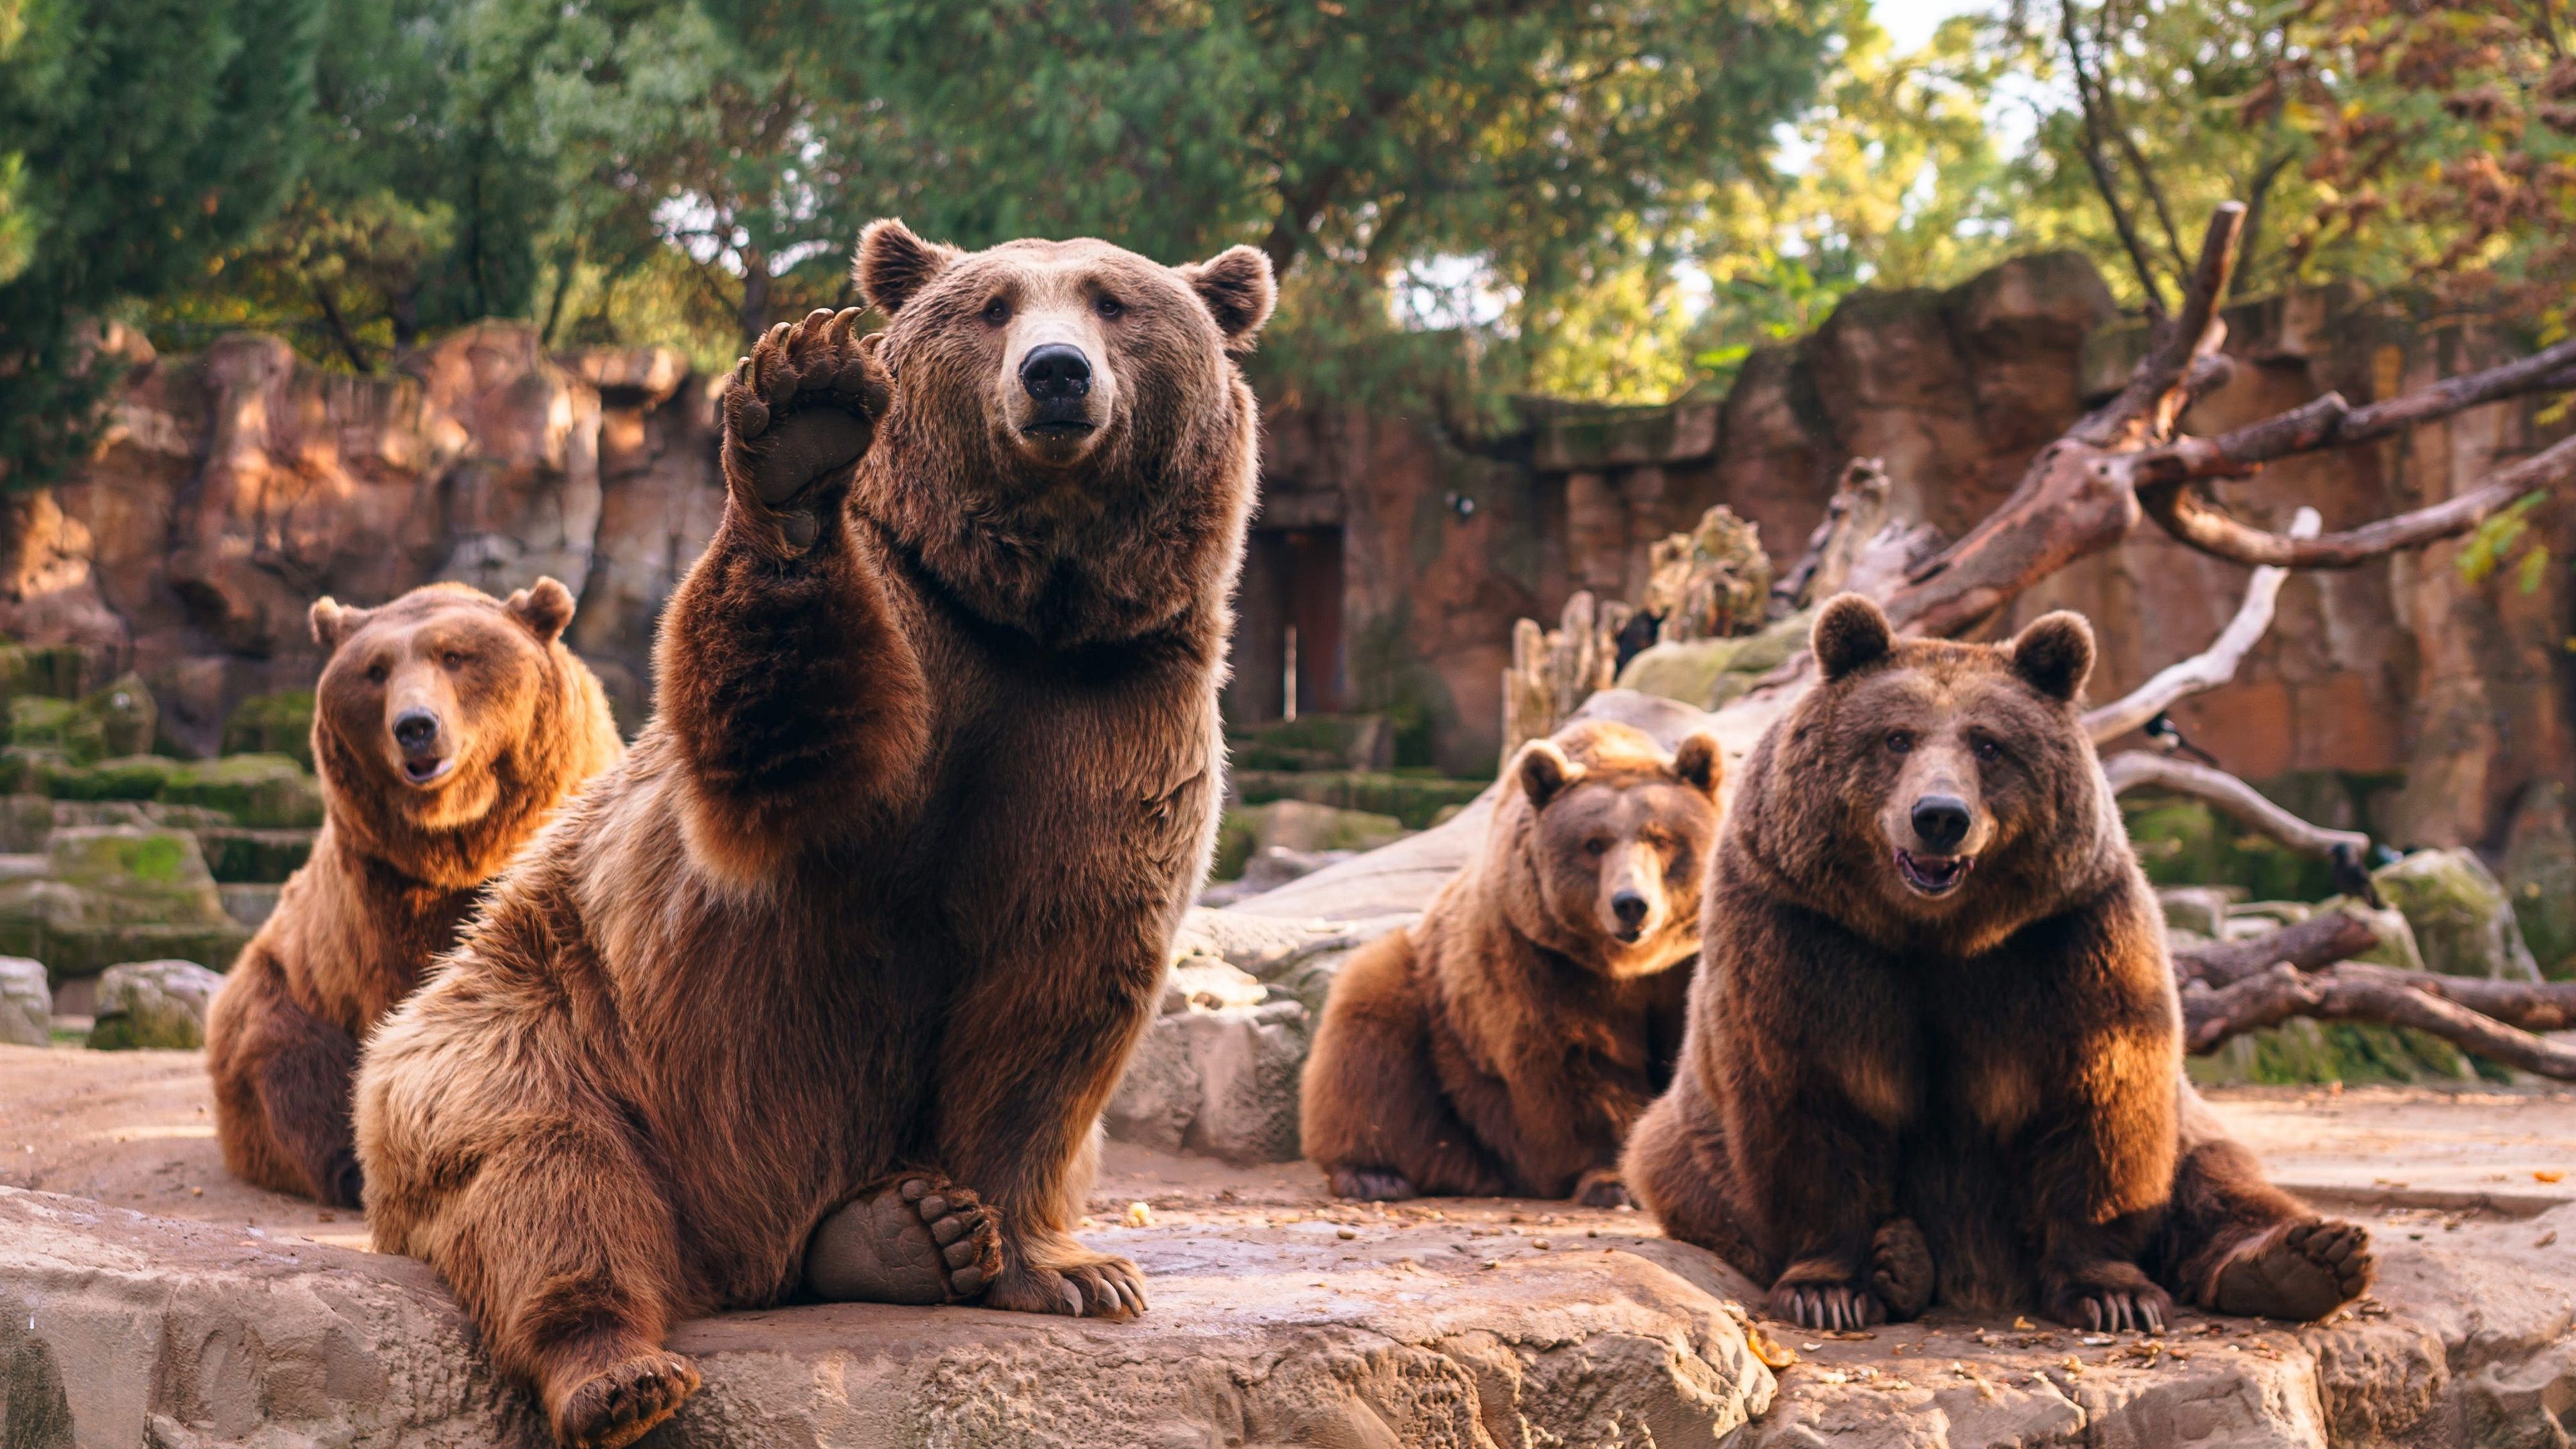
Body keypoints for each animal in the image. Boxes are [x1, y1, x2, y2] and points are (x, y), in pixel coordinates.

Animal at [203, 580, 621, 1201]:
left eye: (455, 655)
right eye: (375, 670)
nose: (415, 726)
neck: (465, 842)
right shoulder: (384, 888)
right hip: (288, 987)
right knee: (291, 1070)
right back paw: (349, 1170)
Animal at [347, 225, 1272, 1444]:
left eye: (1116, 302)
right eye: (992, 305)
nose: (1056, 374)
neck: (1030, 618)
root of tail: (734, 1261)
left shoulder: (1111, 719)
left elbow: (1056, 992)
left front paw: (1072, 1270)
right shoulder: (910, 654)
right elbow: (778, 746)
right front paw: (803, 422)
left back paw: (909, 1233)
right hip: (530, 1034)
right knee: (545, 1177)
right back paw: (622, 1373)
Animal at [1308, 716, 1710, 1201]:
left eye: (1661, 838)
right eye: (1594, 844)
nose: (1631, 904)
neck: (1629, 965)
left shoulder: (1687, 962)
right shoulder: (1537, 955)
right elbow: (1578, 1063)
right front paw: (1613, 1179)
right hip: (1433, 1015)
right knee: (1369, 1034)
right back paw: (1373, 1174)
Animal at [1627, 592, 2369, 1330]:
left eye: (1989, 743)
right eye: (1896, 737)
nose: (1939, 816)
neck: (1935, 933)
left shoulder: (2064, 938)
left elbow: (2101, 1094)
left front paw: (2114, 1293)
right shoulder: (1805, 932)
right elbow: (1813, 1093)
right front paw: (1827, 1287)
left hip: (2189, 1125)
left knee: (2216, 1176)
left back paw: (2306, 1258)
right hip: (1684, 1147)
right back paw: (1903, 1261)